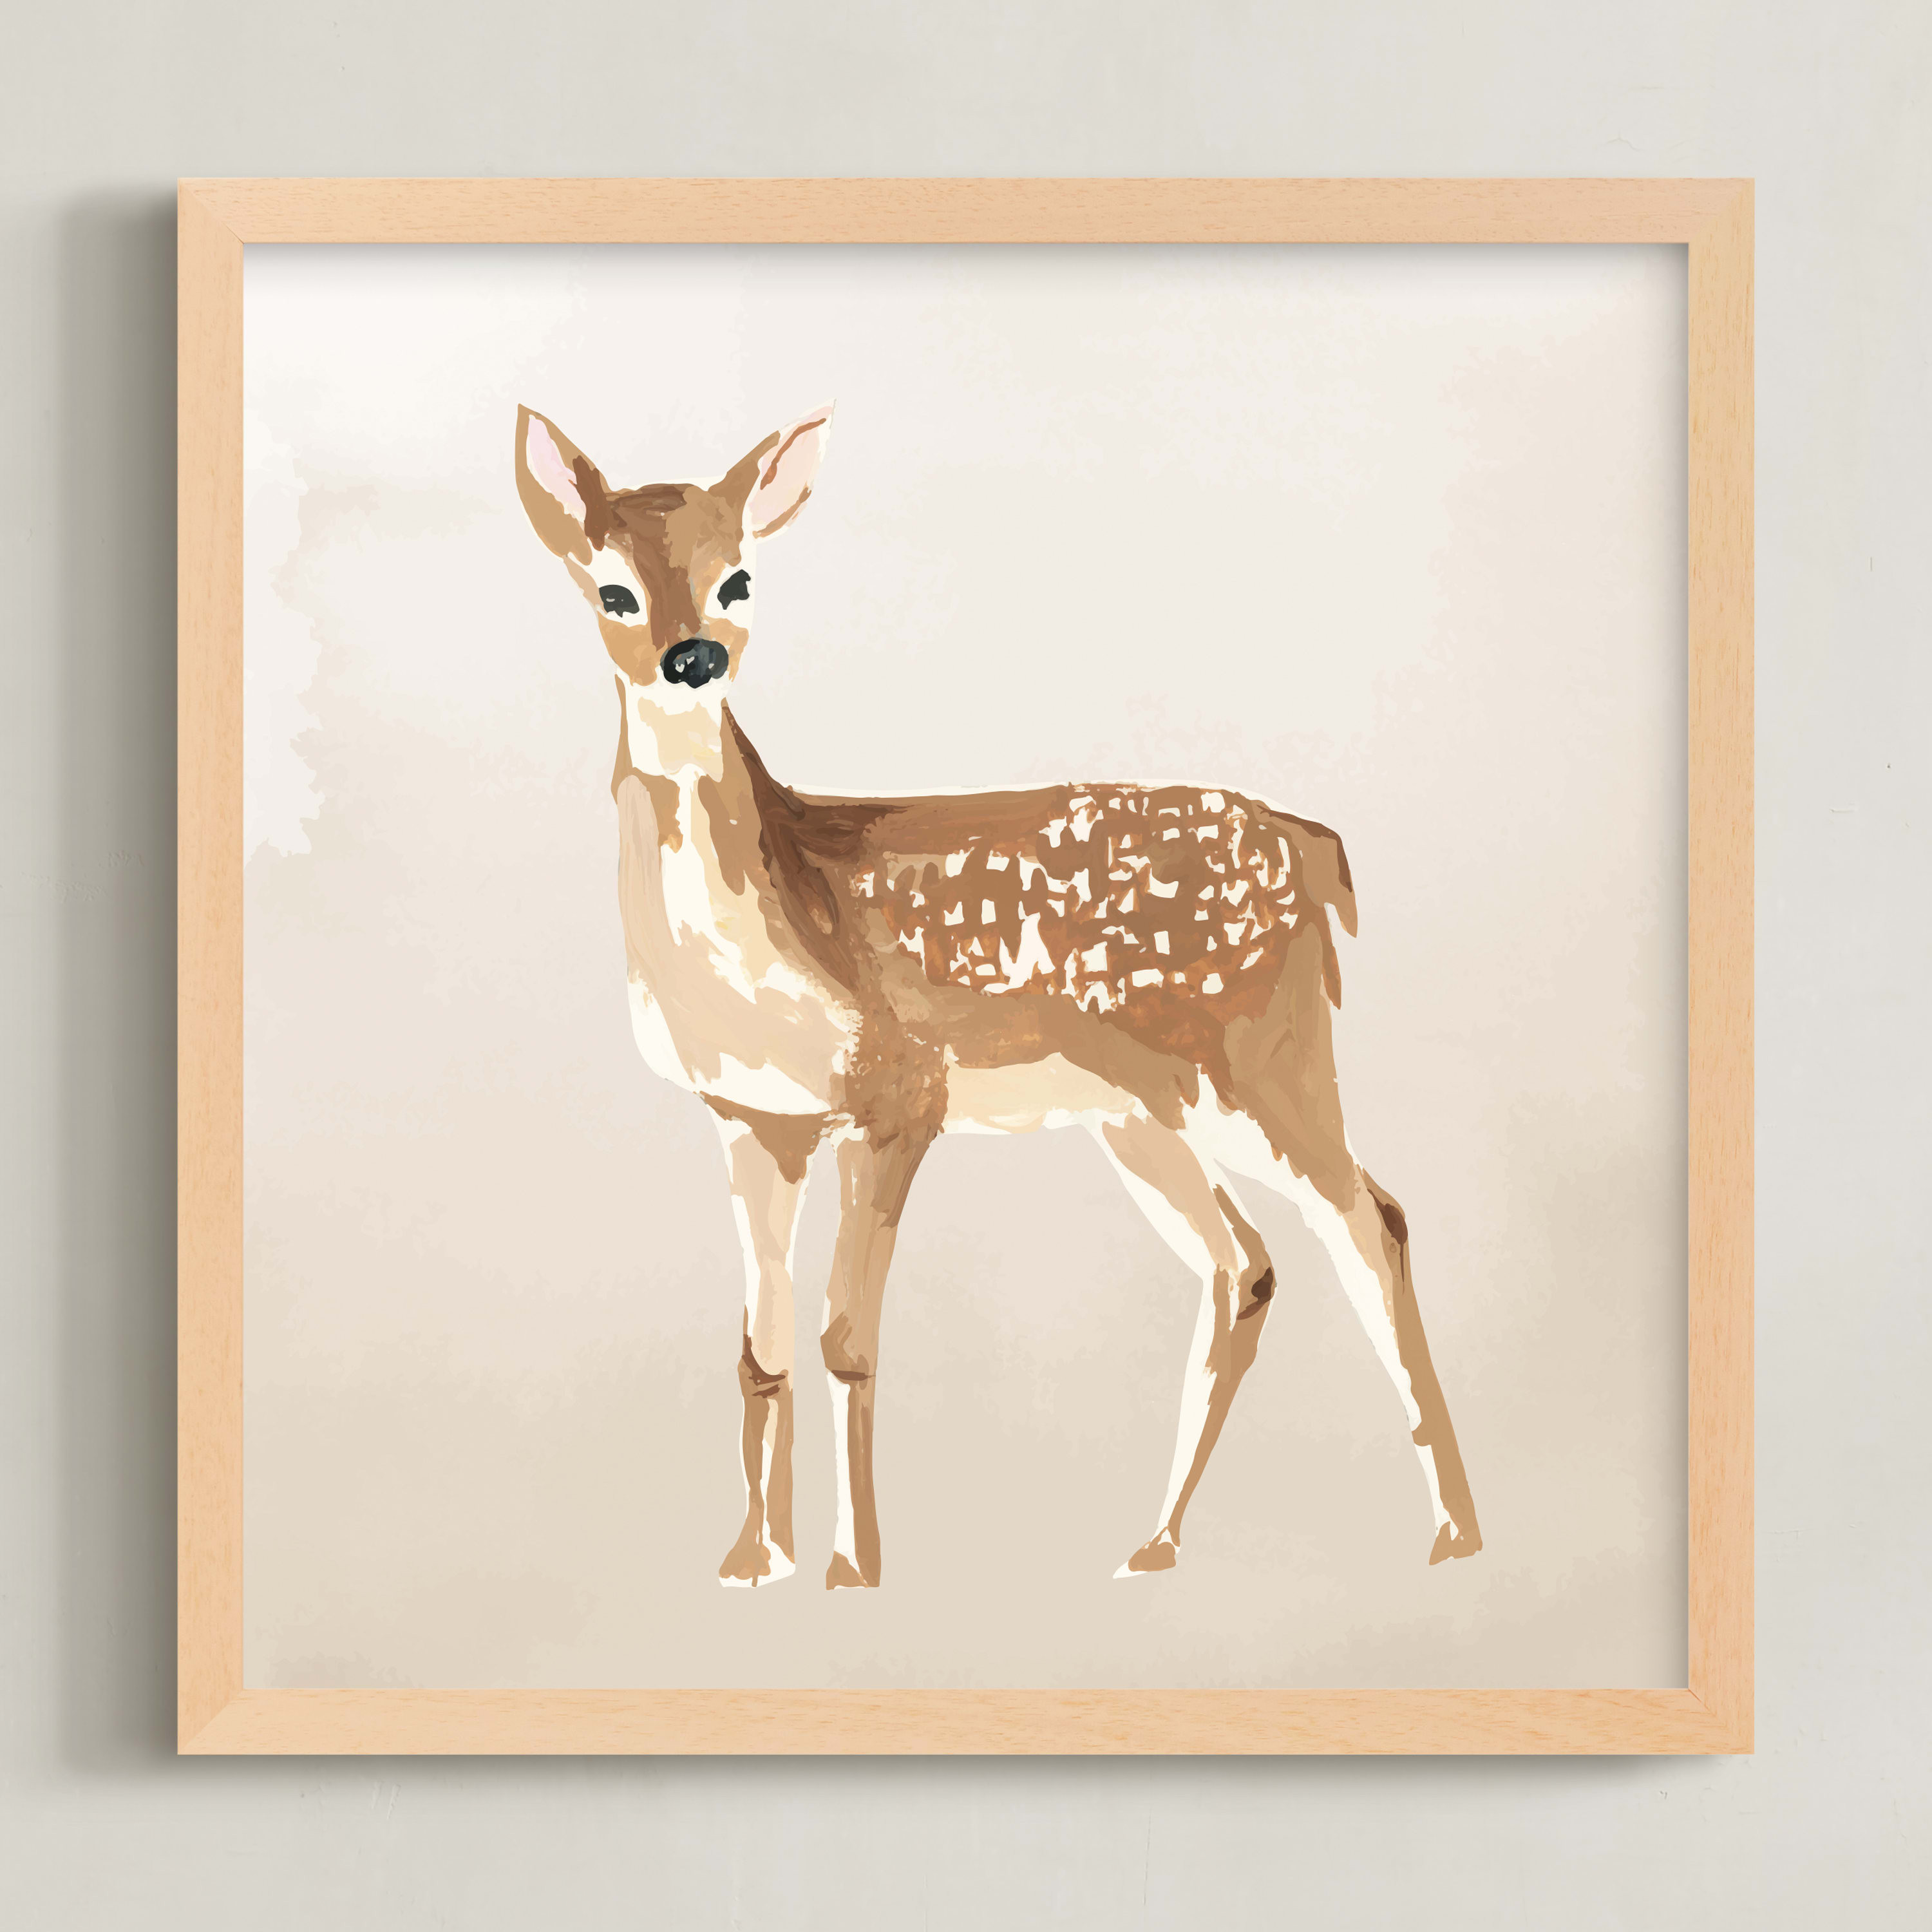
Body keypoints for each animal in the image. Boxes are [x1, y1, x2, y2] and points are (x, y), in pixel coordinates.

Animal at [514, 402, 1483, 1591]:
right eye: (611, 590)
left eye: (740, 578)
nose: (692, 656)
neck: (779, 912)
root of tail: (1316, 852)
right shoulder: (751, 1118)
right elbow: (759, 1347)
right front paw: (751, 1560)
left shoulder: (898, 1095)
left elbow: (847, 1339)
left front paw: (854, 1569)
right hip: (1143, 1113)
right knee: (1243, 1264)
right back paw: (1154, 1544)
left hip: (1263, 1056)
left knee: (1369, 1217)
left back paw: (1454, 1535)